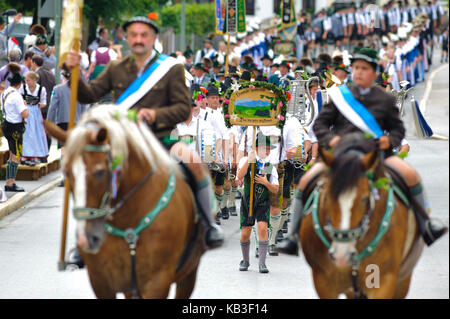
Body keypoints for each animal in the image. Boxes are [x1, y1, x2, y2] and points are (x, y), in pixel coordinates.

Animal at [45, 105, 206, 300]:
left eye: (100, 172)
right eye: (66, 172)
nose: (87, 239)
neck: (128, 218)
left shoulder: (157, 282)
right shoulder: (101, 282)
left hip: (189, 273)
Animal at [300, 134, 424, 298]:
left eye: (365, 199)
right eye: (326, 197)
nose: (341, 254)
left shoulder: (383, 281)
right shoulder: (324, 282)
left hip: (403, 279)